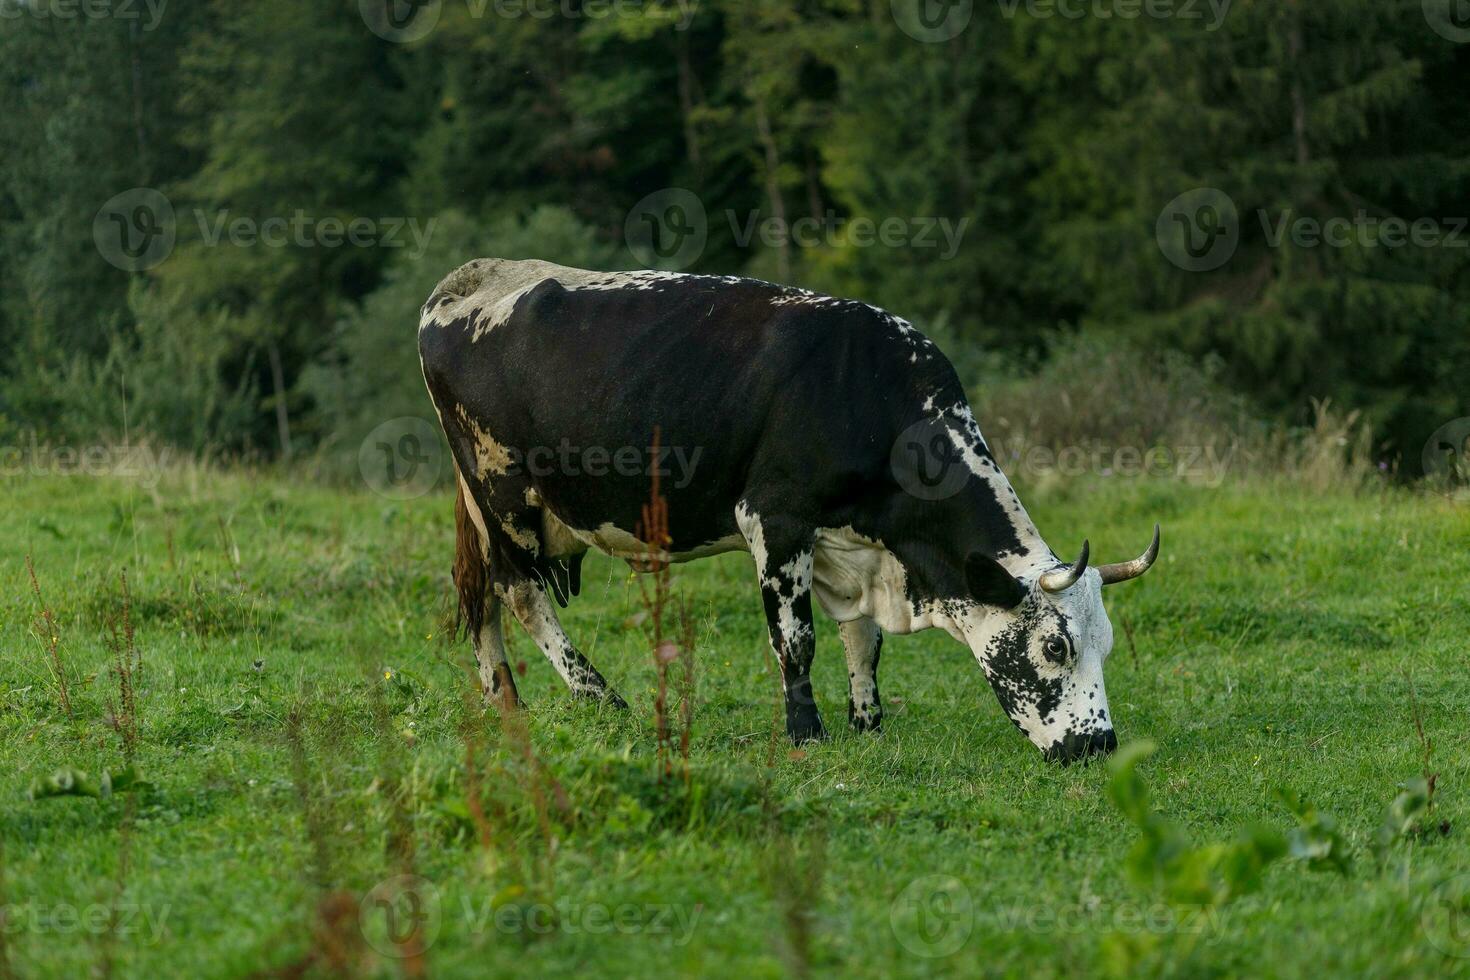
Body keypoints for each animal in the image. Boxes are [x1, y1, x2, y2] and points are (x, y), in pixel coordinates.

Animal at [417, 258, 1158, 758]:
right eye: (1056, 645)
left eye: (1105, 643)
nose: (1098, 744)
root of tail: (470, 279)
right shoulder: (773, 518)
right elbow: (795, 640)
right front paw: (807, 732)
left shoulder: (855, 547)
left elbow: (863, 638)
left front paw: (868, 721)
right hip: (502, 490)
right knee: (518, 591)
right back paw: (597, 694)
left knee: (479, 595)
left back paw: (503, 701)